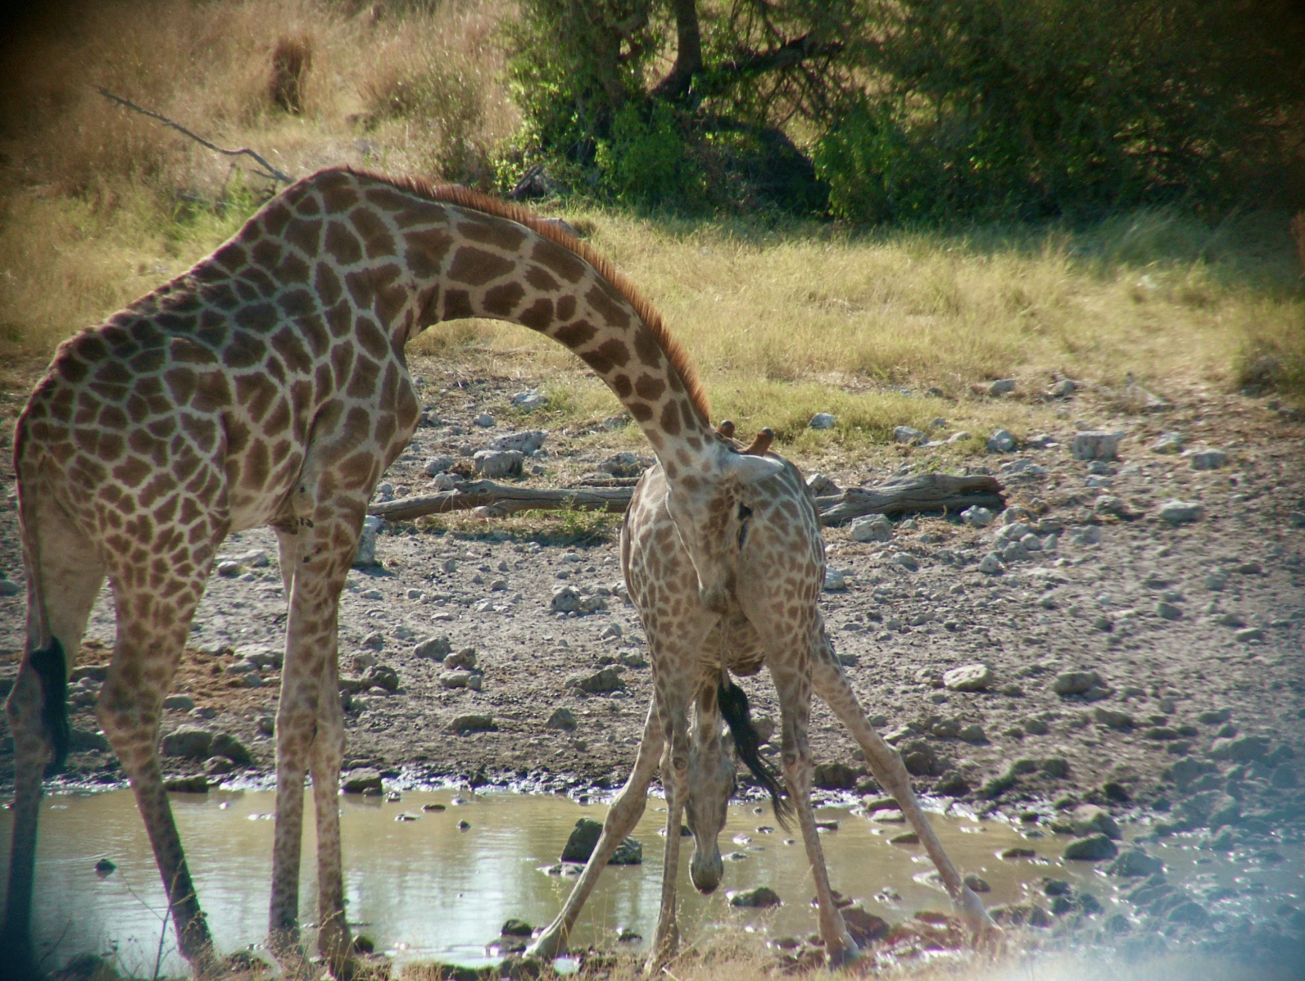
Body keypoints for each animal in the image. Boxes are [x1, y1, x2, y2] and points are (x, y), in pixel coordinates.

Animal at [0, 165, 777, 975]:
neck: (422, 274)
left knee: (29, 705)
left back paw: (26, 933)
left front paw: (338, 941)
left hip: (63, 543)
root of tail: (34, 433)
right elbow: (296, 713)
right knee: (128, 706)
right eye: (731, 513)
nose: (722, 605)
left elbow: (328, 718)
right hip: (169, 540)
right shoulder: (345, 480)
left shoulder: (300, 512)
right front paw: (289, 938)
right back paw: (208, 948)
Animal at [524, 425, 991, 970]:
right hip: (750, 633)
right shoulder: (700, 662)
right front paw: (553, 937)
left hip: (759, 630)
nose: (707, 878)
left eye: (731, 788)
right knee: (791, 757)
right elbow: (633, 797)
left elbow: (883, 759)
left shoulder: (732, 653)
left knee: (814, 756)